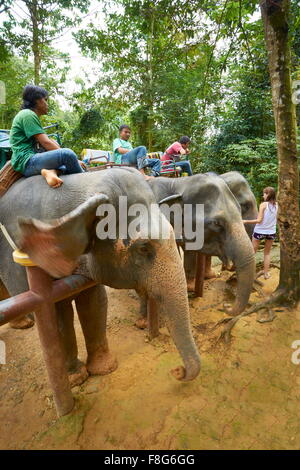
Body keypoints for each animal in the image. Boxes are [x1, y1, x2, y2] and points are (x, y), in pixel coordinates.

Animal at [0, 169, 202, 386]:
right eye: (144, 247)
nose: (177, 371)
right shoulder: (21, 261)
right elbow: (55, 315)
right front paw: (76, 379)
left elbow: (94, 303)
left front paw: (104, 369)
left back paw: (21, 324)